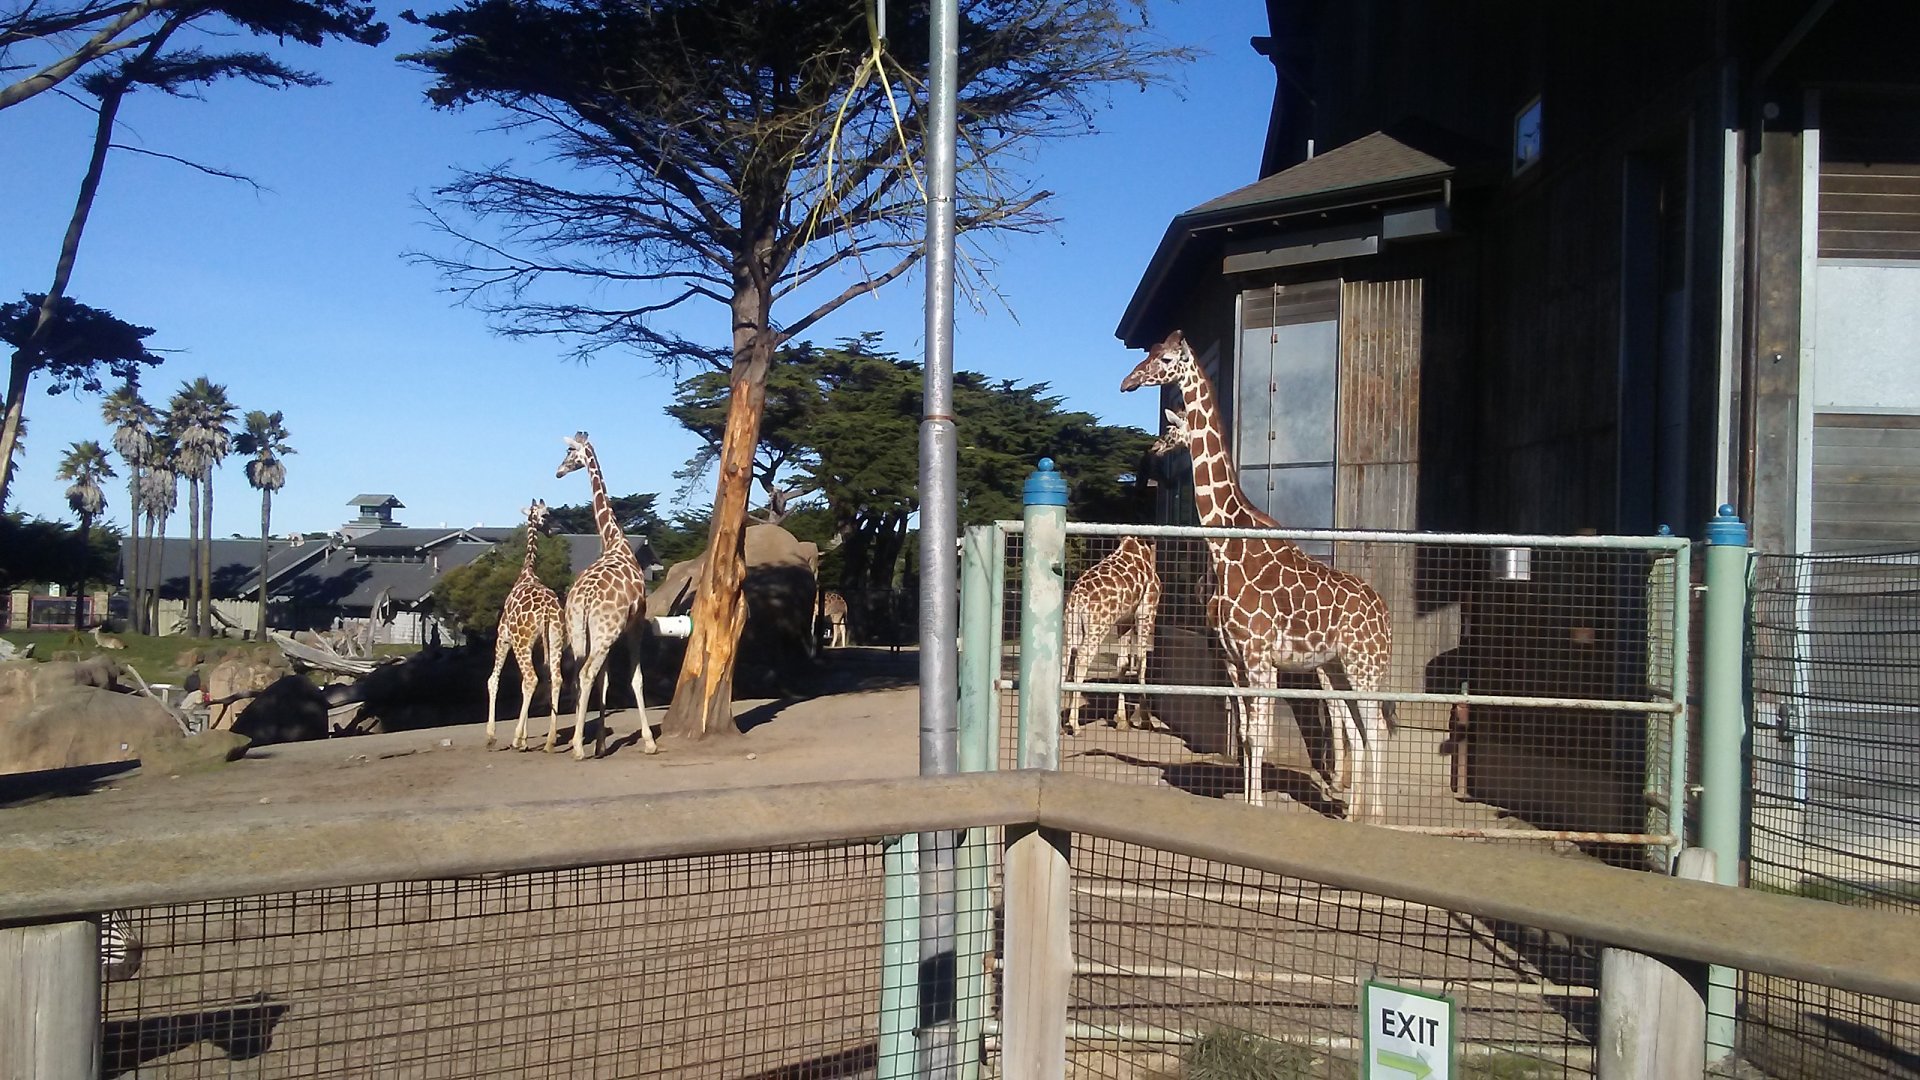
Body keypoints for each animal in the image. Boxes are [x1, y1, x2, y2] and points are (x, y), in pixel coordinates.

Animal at [485, 499, 568, 752]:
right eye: (547, 514)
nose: (557, 528)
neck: (527, 572)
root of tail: (548, 610)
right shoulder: (538, 646)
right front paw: (525, 736)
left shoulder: (503, 638)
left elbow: (493, 680)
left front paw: (493, 736)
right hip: (556, 639)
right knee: (555, 678)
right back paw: (550, 740)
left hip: (521, 643)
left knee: (531, 679)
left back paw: (514, 740)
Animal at [556, 432, 657, 759]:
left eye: (569, 452)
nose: (558, 471)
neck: (615, 540)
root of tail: (586, 598)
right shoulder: (634, 623)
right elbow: (635, 678)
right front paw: (649, 741)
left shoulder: (606, 634)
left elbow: (606, 680)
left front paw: (600, 742)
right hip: (605, 630)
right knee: (587, 672)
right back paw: (577, 747)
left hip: (579, 629)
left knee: (578, 674)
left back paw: (578, 742)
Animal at [1062, 535, 1161, 735]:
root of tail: (1077, 599)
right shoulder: (1146, 612)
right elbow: (1142, 663)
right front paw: (1146, 720)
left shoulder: (1124, 621)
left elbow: (1122, 664)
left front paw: (1122, 721)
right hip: (1097, 627)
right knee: (1082, 659)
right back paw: (1075, 725)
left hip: (1072, 627)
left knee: (1065, 659)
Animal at [1122, 330, 1395, 822]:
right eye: (1149, 352)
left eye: (1167, 359)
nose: (1127, 382)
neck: (1226, 546)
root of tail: (1384, 614)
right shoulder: (1235, 660)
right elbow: (1249, 736)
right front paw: (1250, 804)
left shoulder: (1261, 659)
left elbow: (1261, 735)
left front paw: (1260, 806)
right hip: (1340, 666)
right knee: (1361, 729)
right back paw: (1351, 811)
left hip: (1365, 665)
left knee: (1376, 730)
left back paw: (1375, 817)